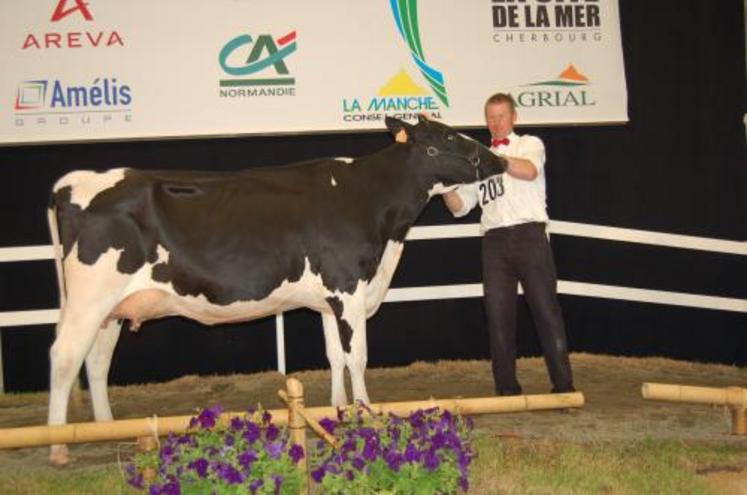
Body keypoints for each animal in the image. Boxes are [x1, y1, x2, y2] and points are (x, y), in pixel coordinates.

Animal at [43, 117, 506, 464]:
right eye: (448, 136)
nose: (498, 158)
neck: (373, 203)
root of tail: (72, 182)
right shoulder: (349, 288)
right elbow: (357, 357)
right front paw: (365, 414)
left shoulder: (329, 299)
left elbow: (335, 356)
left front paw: (336, 411)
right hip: (90, 296)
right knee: (65, 356)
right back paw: (58, 445)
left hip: (112, 307)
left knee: (96, 360)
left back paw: (105, 428)